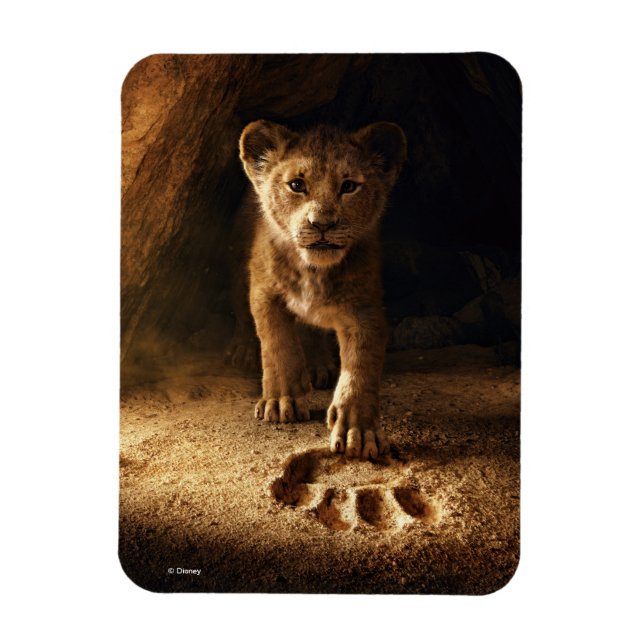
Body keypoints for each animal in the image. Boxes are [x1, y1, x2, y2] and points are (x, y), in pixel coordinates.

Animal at [239, 120, 406, 459]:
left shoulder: (365, 309)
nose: (322, 224)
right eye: (296, 185)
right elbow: (277, 344)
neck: (313, 271)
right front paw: (282, 400)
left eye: (349, 186)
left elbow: (361, 366)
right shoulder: (264, 292)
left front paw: (359, 430)